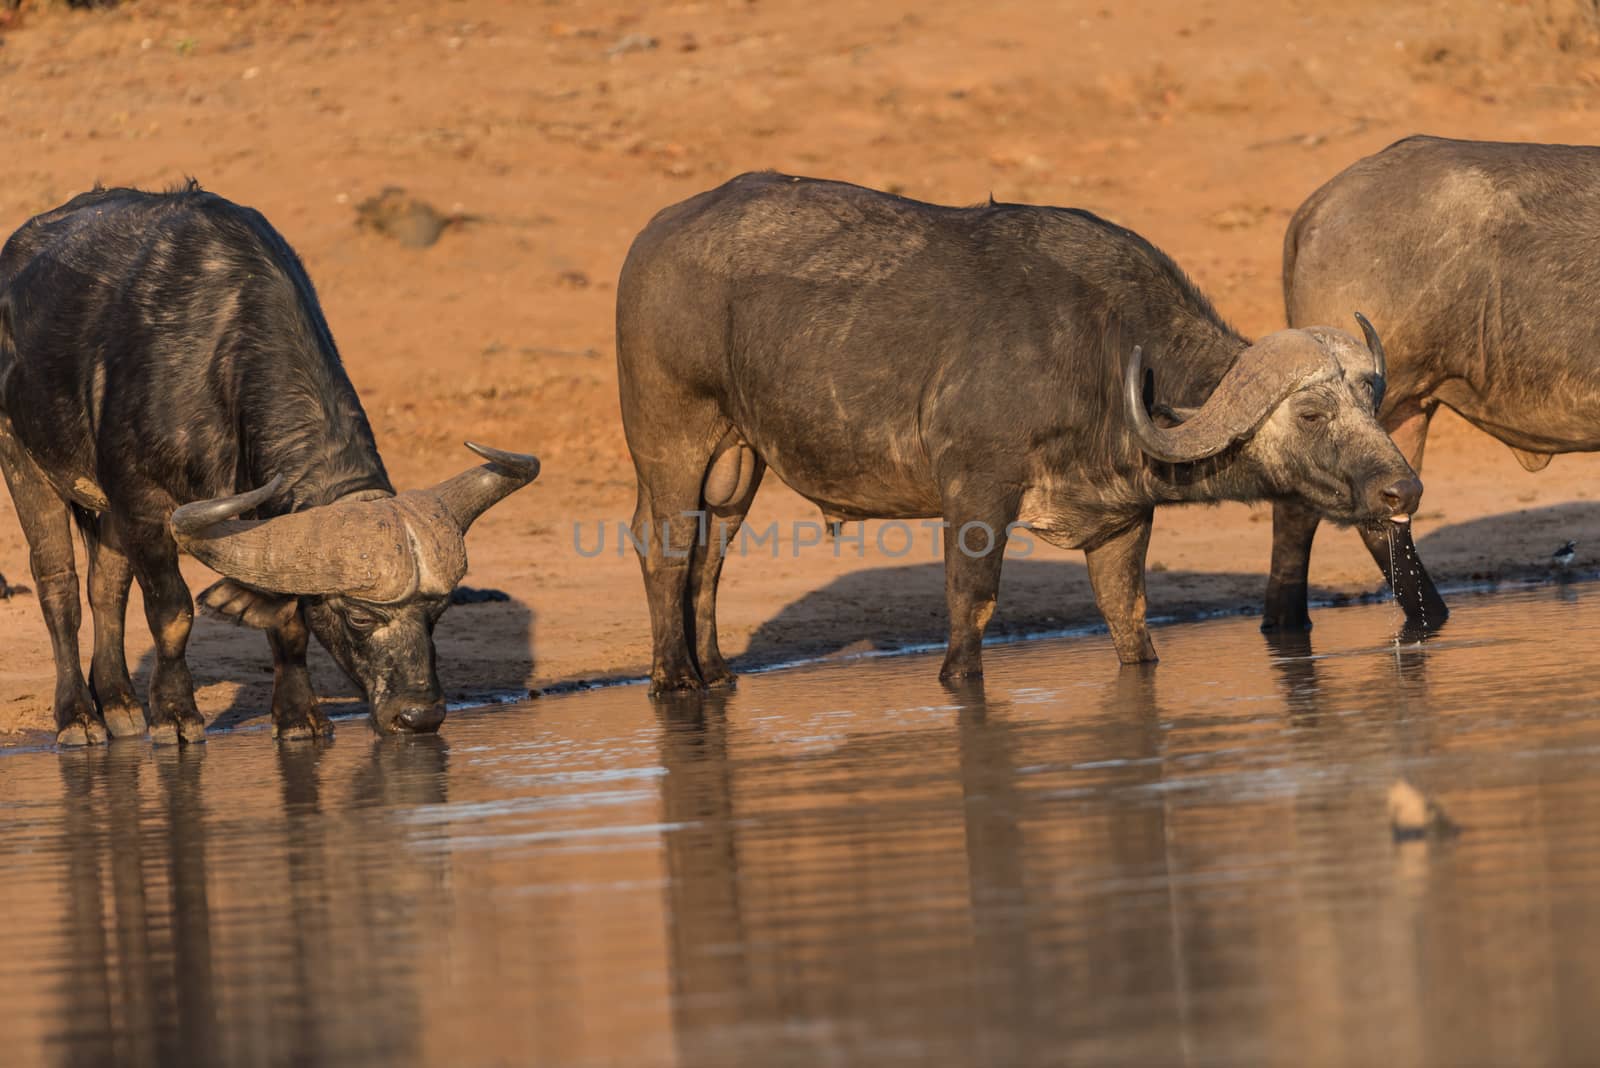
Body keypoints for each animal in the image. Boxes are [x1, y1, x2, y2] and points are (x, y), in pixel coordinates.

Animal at [0, 183, 544, 748]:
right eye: (358, 617)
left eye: (437, 612)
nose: (419, 716)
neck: (215, 355)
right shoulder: (142, 501)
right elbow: (173, 612)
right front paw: (175, 715)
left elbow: (287, 619)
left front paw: (299, 715)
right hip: (21, 455)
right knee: (59, 586)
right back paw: (79, 717)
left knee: (107, 587)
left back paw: (120, 705)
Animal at [614, 173, 1427, 693]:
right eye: (1313, 413)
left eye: (1370, 399)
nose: (1404, 489)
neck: (1108, 355)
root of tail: (653, 236)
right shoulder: (976, 496)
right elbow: (970, 609)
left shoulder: (1122, 524)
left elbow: (1128, 619)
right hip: (671, 441)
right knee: (663, 544)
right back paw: (674, 678)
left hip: (738, 462)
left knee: (710, 552)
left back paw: (716, 672)